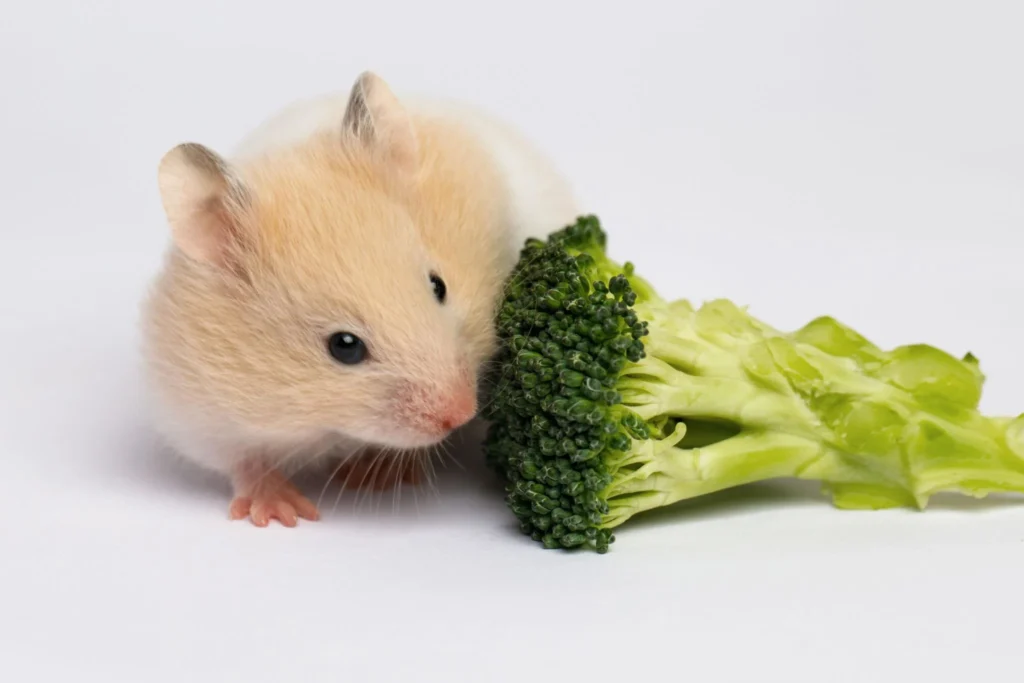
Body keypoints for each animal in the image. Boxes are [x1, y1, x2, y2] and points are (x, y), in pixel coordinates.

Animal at [141, 71, 579, 527]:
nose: (462, 413)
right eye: (344, 346)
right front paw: (284, 514)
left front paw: (376, 477)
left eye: (438, 285)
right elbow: (244, 461)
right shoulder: (198, 414)